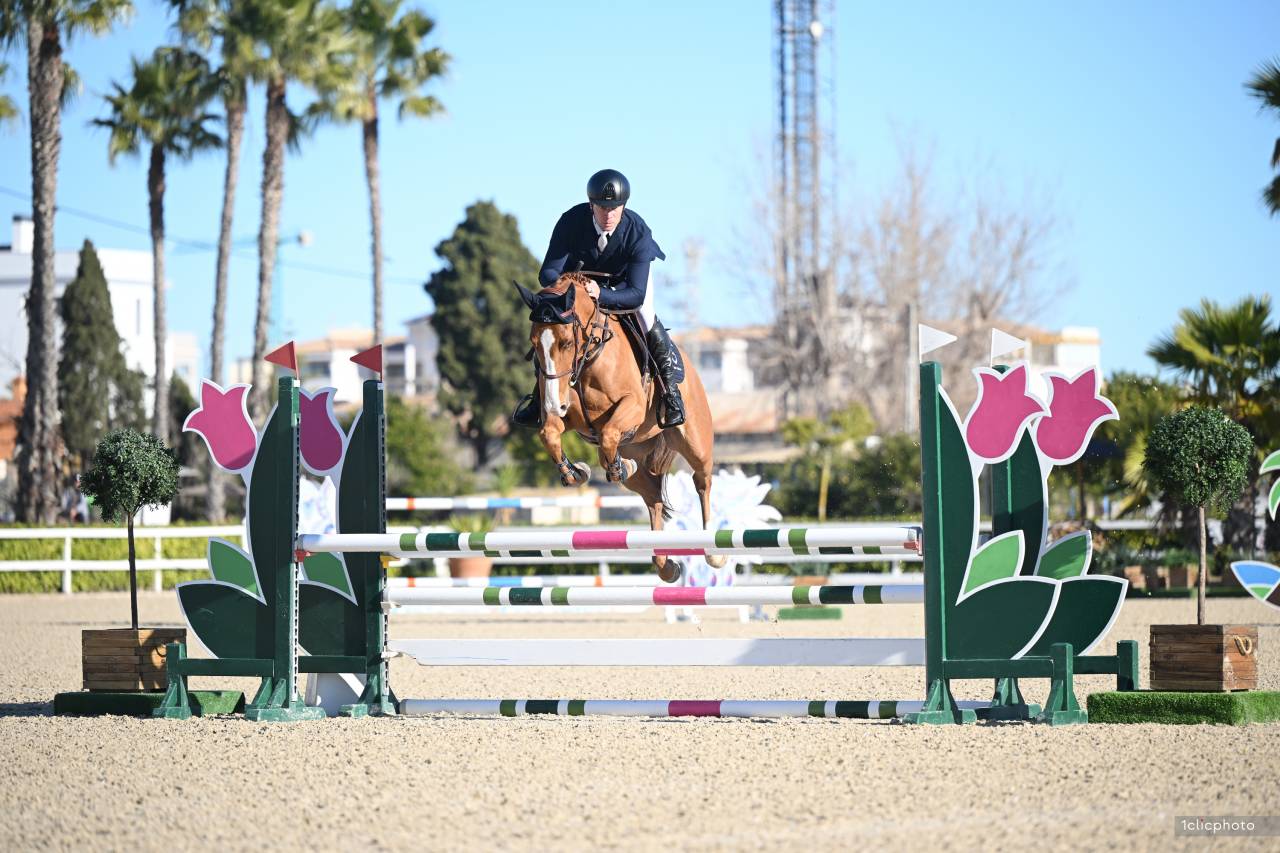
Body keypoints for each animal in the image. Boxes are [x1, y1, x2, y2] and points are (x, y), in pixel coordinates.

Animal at [514, 272, 724, 582]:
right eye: (534, 343)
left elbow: (609, 434)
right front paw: (577, 472)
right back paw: (666, 565)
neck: (590, 355)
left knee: (702, 481)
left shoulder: (633, 406)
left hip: (694, 442)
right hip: (638, 449)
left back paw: (713, 551)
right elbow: (550, 434)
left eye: (566, 342)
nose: (554, 404)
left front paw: (612, 466)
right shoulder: (564, 414)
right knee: (652, 496)